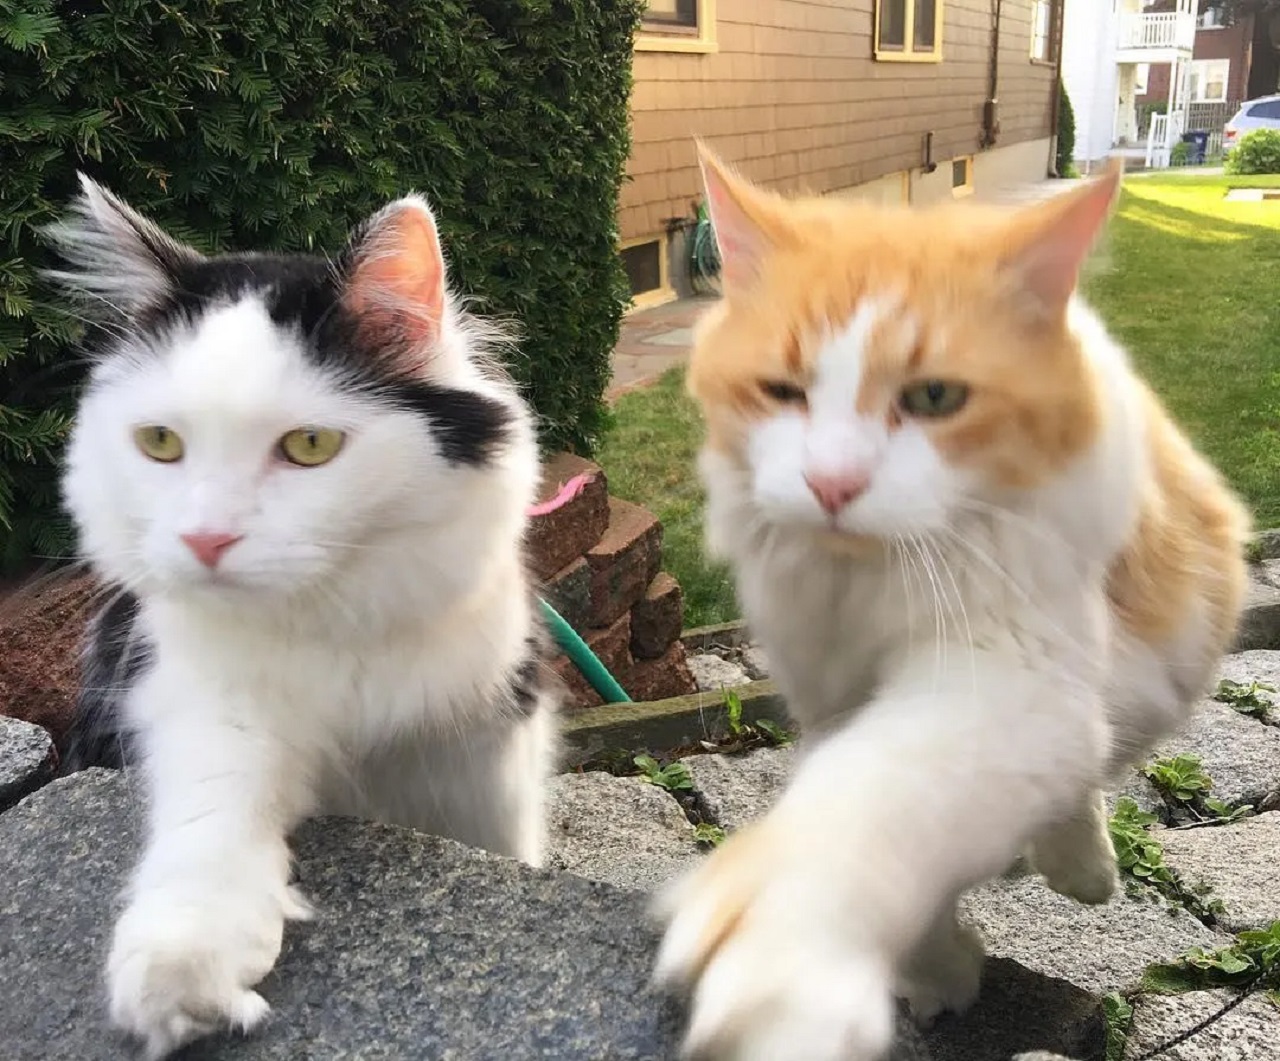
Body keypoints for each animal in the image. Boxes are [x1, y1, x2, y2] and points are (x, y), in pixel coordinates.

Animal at [46, 177, 555, 1054]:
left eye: (310, 446)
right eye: (159, 442)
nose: (206, 537)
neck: (335, 620)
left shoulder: (484, 735)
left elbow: (505, 839)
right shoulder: (200, 699)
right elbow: (211, 824)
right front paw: (182, 969)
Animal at [655, 151, 1254, 1059]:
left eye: (935, 398)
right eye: (783, 391)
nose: (832, 484)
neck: (862, 586)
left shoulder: (1010, 681)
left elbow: (866, 810)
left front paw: (784, 965)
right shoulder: (829, 693)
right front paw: (936, 972)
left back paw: (1081, 867)